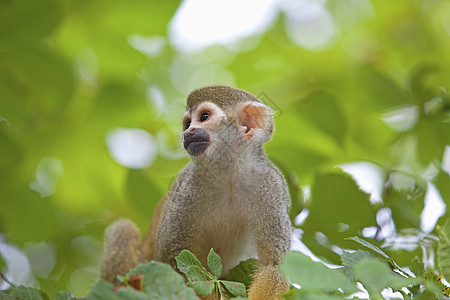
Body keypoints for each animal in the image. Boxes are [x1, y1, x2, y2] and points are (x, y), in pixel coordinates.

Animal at [100, 85, 292, 300]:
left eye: (204, 116)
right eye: (187, 123)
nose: (188, 132)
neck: (229, 175)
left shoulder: (271, 186)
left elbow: (274, 266)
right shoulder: (188, 186)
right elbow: (173, 257)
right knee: (123, 229)